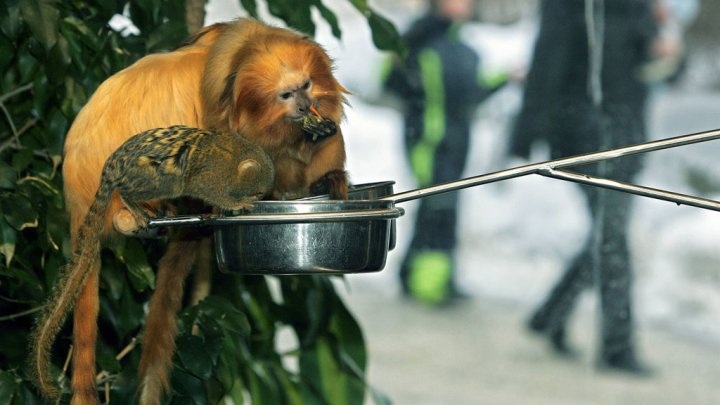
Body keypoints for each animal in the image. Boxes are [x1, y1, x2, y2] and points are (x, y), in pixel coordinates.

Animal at [30, 125, 275, 400]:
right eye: (257, 192)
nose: (259, 198)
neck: (234, 159)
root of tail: (110, 169)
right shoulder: (213, 176)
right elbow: (207, 189)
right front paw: (236, 204)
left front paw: (218, 212)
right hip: (147, 175)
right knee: (156, 183)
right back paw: (134, 203)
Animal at [56, 18, 349, 405]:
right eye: (287, 95)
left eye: (306, 85)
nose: (304, 106)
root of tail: (77, 196)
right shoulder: (223, 127)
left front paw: (321, 140)